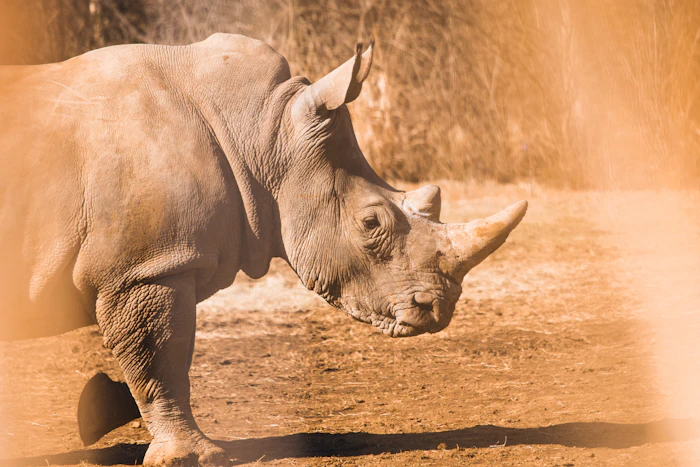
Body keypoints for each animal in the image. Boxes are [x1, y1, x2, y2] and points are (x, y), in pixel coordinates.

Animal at [0, 34, 527, 466]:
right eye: (371, 223)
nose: (437, 311)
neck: (263, 131)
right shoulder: (148, 265)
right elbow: (160, 356)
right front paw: (192, 457)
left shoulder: (151, 263)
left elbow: (160, 357)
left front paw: (100, 411)